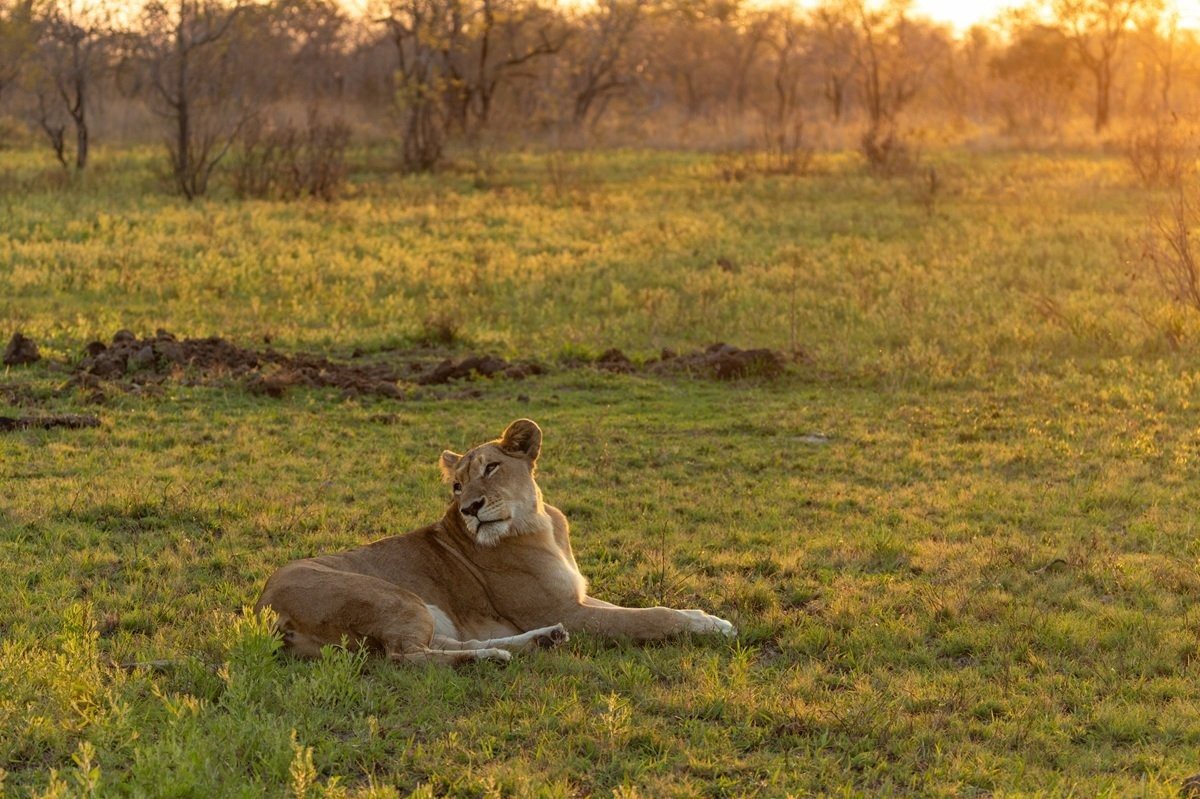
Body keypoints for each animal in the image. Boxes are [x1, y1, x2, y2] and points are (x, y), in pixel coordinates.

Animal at [254, 418, 736, 664]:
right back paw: (492, 659)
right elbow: (650, 617)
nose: (469, 507)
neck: (539, 522)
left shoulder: (573, 600)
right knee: (406, 656)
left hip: (426, 612)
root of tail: (263, 610)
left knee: (441, 645)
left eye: (490, 468)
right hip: (392, 596)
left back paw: (534, 644)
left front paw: (707, 617)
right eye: (456, 486)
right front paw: (709, 627)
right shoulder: (567, 610)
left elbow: (638, 609)